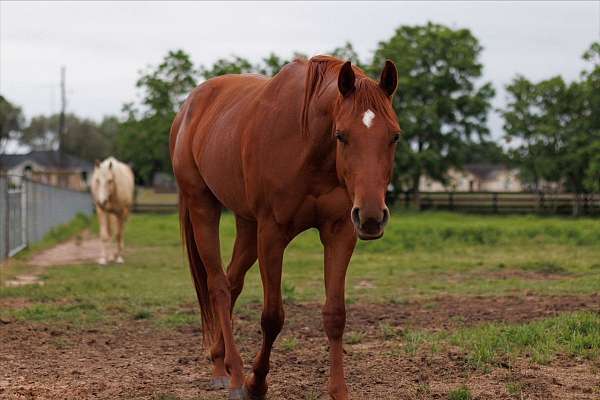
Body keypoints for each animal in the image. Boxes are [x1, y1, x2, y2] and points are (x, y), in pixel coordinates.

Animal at [171, 54, 400, 400]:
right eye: (341, 135)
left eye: (395, 136)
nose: (372, 216)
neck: (309, 147)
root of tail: (188, 107)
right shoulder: (272, 233)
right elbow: (272, 317)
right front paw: (256, 383)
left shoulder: (340, 232)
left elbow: (335, 315)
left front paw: (339, 391)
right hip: (203, 207)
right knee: (219, 287)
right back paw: (233, 376)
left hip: (246, 225)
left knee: (232, 281)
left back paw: (220, 361)